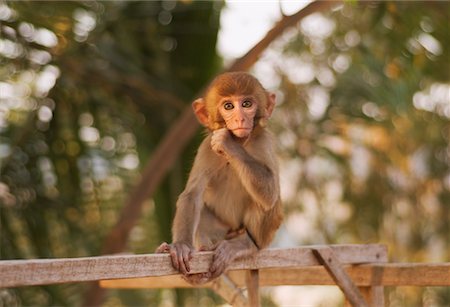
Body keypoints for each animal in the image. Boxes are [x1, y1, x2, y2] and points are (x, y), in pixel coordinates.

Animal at [156, 71, 282, 286]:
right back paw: (201, 264)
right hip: (222, 229)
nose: (240, 119)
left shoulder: (263, 140)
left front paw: (228, 143)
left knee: (265, 202)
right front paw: (181, 246)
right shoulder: (207, 148)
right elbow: (192, 195)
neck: (242, 142)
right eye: (228, 106)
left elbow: (270, 192)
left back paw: (245, 244)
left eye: (247, 104)